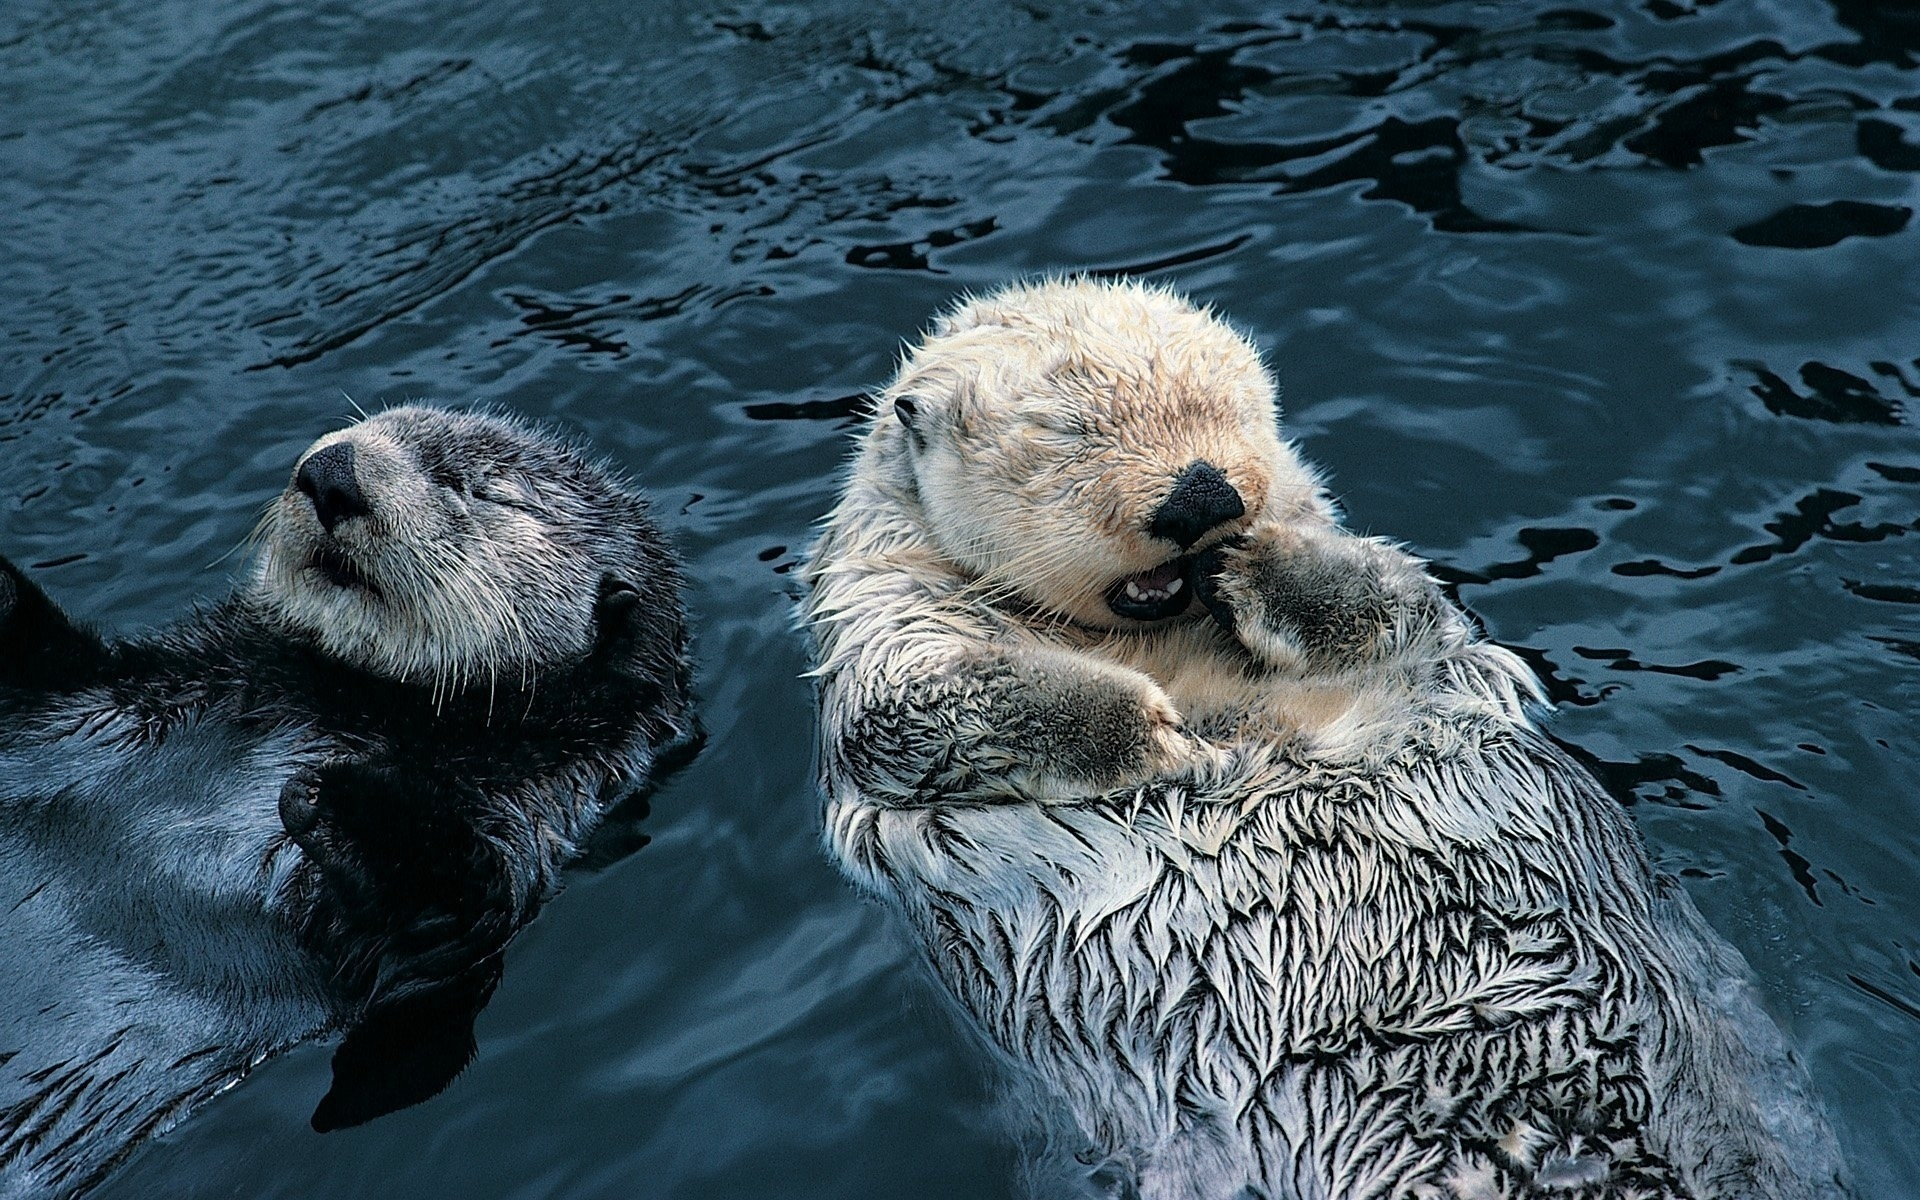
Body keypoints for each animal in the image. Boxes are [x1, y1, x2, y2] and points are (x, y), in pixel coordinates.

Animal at [0, 405, 695, 1198]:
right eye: (372, 423)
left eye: (478, 489)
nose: (332, 471)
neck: (350, 701)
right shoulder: (112, 690)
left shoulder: (526, 819)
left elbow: (447, 912)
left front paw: (340, 801)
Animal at [802, 278, 1850, 1198]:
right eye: (1069, 432)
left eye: (1229, 408)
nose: (1202, 498)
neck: (1159, 642)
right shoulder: (883, 625)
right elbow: (915, 708)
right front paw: (1161, 736)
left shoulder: (1414, 629)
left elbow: (1394, 601)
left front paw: (1256, 567)